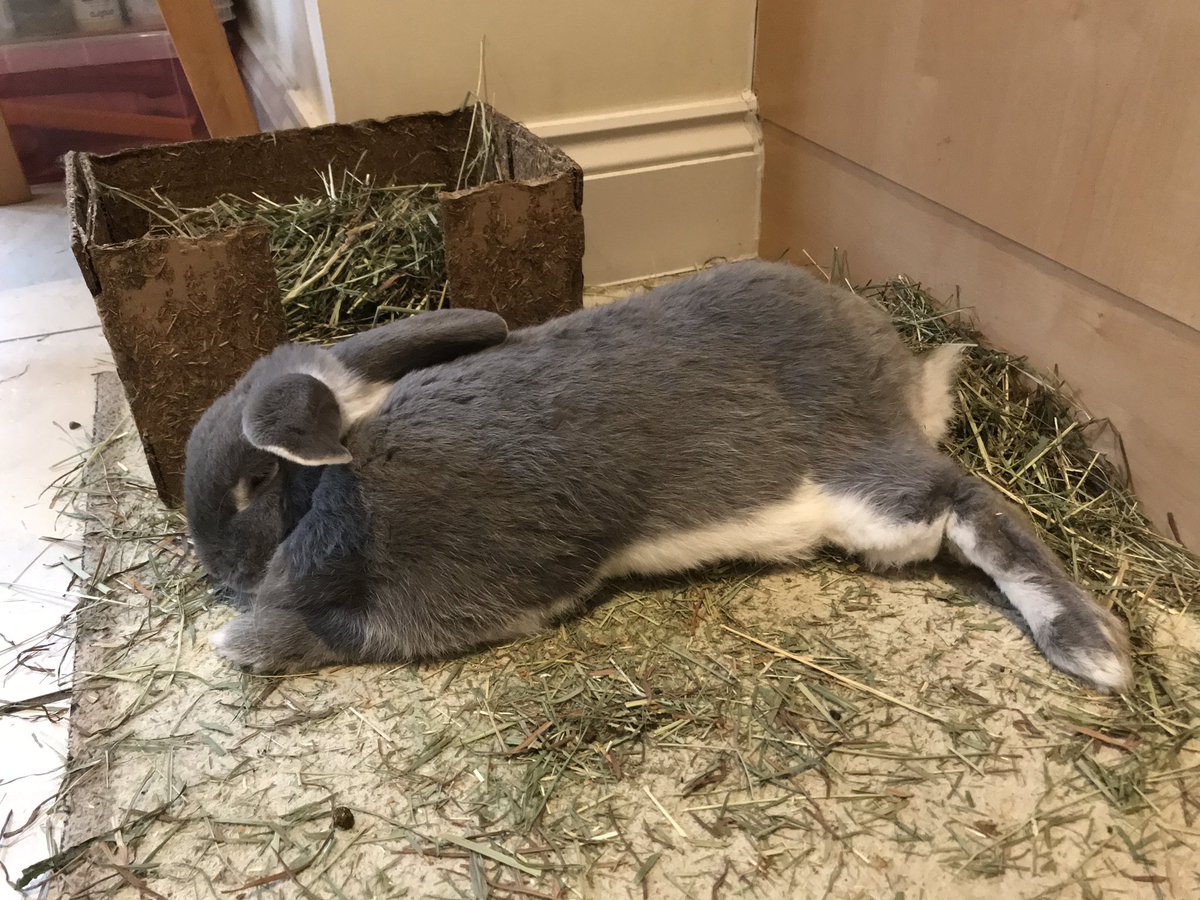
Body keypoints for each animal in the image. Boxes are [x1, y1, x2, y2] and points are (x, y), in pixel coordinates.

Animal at [187, 260, 1132, 693]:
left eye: (248, 484)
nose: (222, 574)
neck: (344, 470)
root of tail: (896, 375)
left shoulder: (448, 594)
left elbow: (319, 633)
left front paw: (235, 640)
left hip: (867, 490)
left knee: (970, 502)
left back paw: (1093, 649)